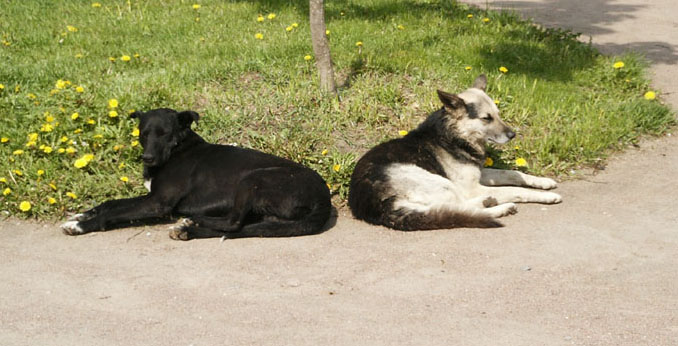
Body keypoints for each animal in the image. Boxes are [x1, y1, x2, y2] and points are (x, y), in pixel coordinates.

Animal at [62, 109, 334, 241]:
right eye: (143, 133)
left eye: (164, 133)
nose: (147, 159)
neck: (177, 149)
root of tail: (324, 199)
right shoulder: (151, 197)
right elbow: (111, 204)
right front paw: (81, 214)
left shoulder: (158, 203)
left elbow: (112, 213)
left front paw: (80, 226)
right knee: (239, 227)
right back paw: (188, 229)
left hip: (252, 180)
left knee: (233, 222)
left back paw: (192, 222)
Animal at [350, 73, 564, 230]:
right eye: (486, 118)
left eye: (498, 114)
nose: (513, 135)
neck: (454, 134)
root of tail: (376, 206)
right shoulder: (472, 187)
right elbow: (514, 190)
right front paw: (545, 196)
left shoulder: (480, 173)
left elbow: (513, 173)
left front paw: (542, 181)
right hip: (439, 182)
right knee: (461, 207)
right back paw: (496, 206)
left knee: (453, 208)